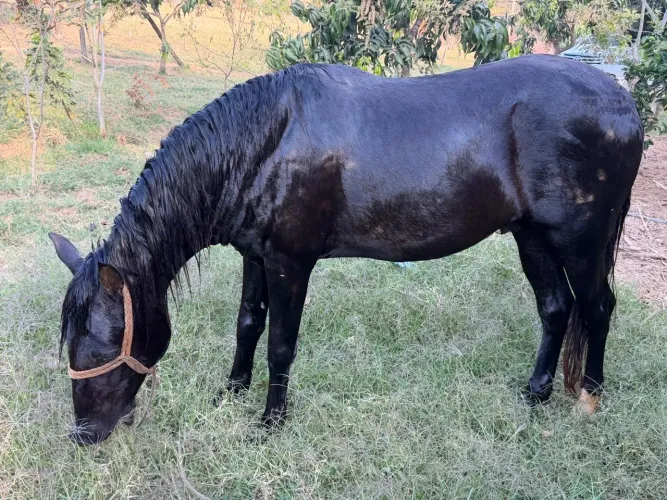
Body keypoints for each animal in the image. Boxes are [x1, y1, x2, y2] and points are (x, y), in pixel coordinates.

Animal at [50, 55, 643, 445]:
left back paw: (588, 399)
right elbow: (248, 324)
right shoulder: (255, 255)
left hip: (581, 241)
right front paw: (233, 392)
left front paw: (270, 422)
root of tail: (621, 98)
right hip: (532, 236)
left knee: (597, 308)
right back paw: (536, 394)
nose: (84, 435)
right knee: (556, 309)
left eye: (98, 348)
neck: (266, 142)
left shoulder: (290, 263)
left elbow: (280, 344)